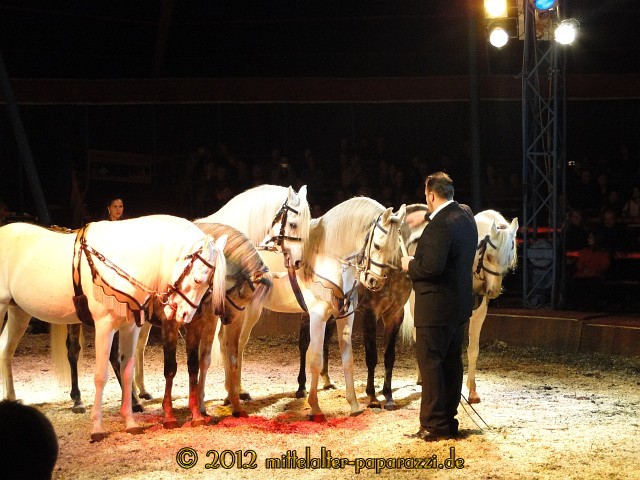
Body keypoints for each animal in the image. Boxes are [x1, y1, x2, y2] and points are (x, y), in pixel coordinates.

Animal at [0, 215, 227, 441]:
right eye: (198, 279)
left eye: (210, 284)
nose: (185, 315)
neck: (123, 260)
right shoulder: (105, 326)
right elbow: (102, 375)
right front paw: (98, 427)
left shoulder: (130, 327)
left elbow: (127, 370)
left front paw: (130, 421)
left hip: (19, 312)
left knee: (6, 350)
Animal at [133, 223, 273, 428]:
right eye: (240, 293)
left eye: (248, 299)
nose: (228, 317)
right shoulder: (175, 323)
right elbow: (172, 368)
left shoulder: (209, 322)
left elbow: (207, 360)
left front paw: (207, 406)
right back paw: (134, 401)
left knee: (138, 348)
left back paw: (141, 391)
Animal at [215, 197, 407, 420]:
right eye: (376, 245)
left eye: (395, 250)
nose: (373, 281)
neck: (326, 261)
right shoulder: (317, 317)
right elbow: (315, 358)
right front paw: (315, 407)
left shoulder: (345, 317)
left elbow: (347, 359)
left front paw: (354, 405)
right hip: (240, 312)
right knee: (229, 344)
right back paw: (231, 395)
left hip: (250, 311)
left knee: (233, 343)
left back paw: (236, 392)